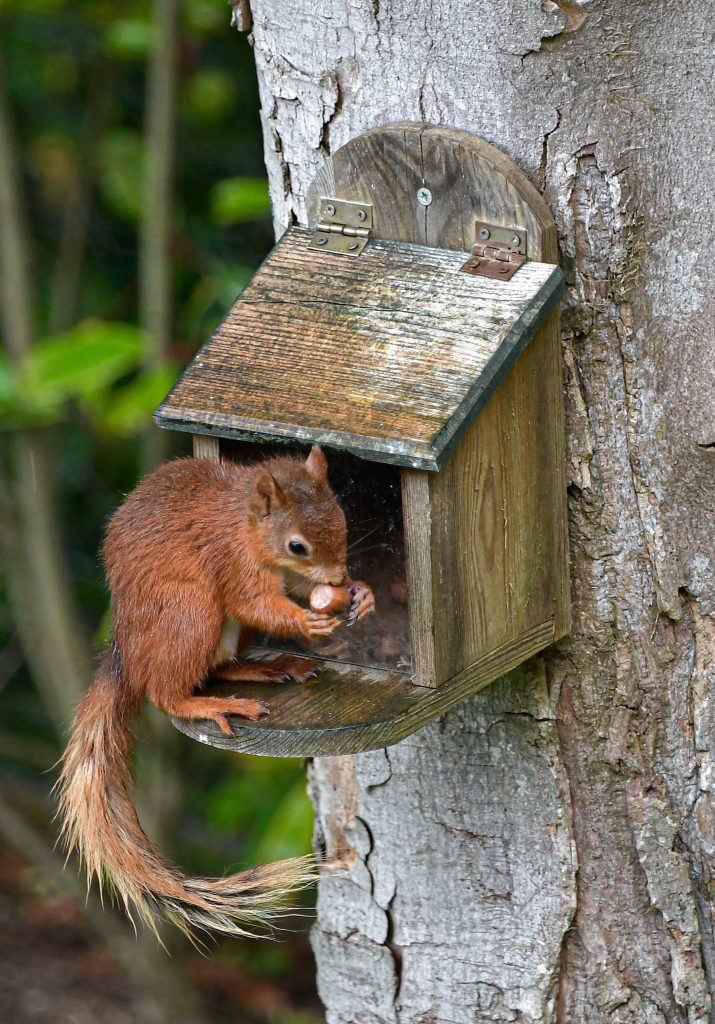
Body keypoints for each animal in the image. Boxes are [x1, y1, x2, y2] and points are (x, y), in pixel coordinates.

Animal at [57, 445, 375, 939]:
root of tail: (126, 655)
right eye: (296, 545)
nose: (340, 578)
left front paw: (362, 593)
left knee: (222, 665)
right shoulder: (233, 562)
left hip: (226, 633)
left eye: (342, 519)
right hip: (191, 614)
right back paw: (213, 703)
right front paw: (307, 619)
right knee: (165, 692)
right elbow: (255, 602)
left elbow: (300, 588)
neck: (244, 526)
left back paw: (271, 668)